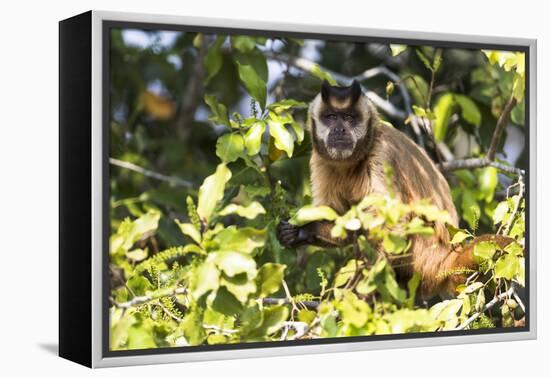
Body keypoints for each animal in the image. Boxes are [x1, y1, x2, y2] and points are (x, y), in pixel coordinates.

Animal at [278, 79, 516, 298]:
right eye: (330, 117)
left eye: (349, 118)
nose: (339, 129)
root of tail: (444, 256)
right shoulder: (320, 159)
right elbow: (337, 215)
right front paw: (303, 231)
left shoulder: (382, 154)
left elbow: (395, 224)